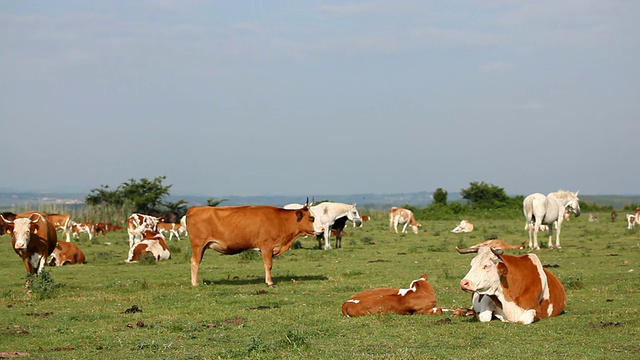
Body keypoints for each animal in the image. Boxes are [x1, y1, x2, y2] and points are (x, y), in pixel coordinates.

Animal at [185, 204, 316, 286]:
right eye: (311, 217)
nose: (321, 229)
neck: (281, 221)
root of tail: (195, 209)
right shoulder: (267, 246)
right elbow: (268, 265)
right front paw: (270, 283)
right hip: (198, 245)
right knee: (195, 261)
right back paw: (195, 283)